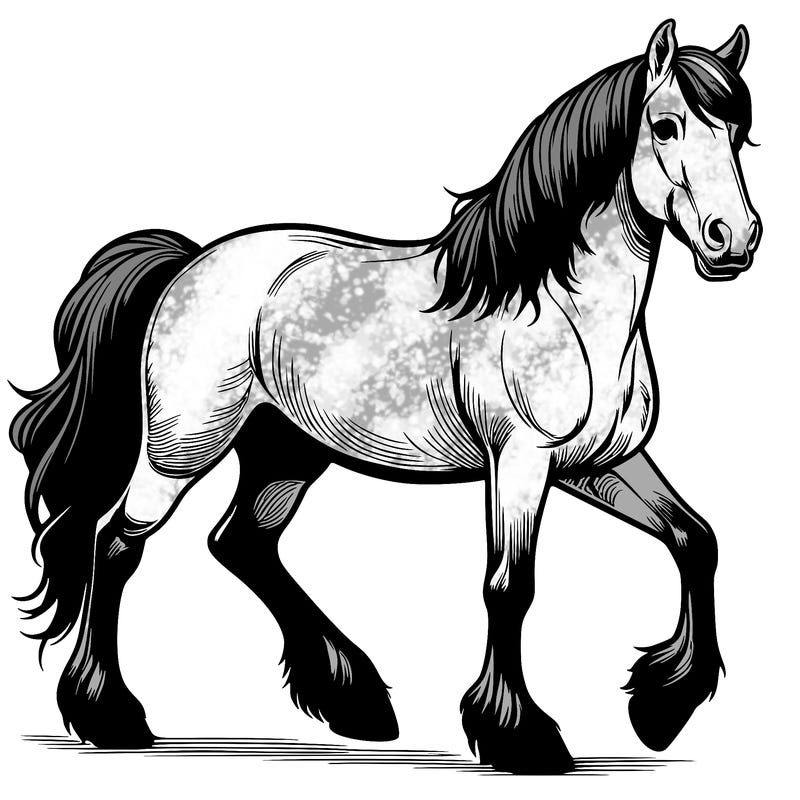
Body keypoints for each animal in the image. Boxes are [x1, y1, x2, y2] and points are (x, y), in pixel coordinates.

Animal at [10, 20, 760, 774]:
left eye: (738, 131)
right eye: (665, 126)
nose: (735, 240)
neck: (559, 308)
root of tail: (189, 264)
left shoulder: (599, 464)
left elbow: (696, 539)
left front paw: (662, 709)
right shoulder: (520, 463)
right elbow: (509, 587)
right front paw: (522, 736)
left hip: (287, 451)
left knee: (242, 543)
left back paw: (355, 701)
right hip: (183, 447)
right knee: (116, 545)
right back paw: (113, 717)